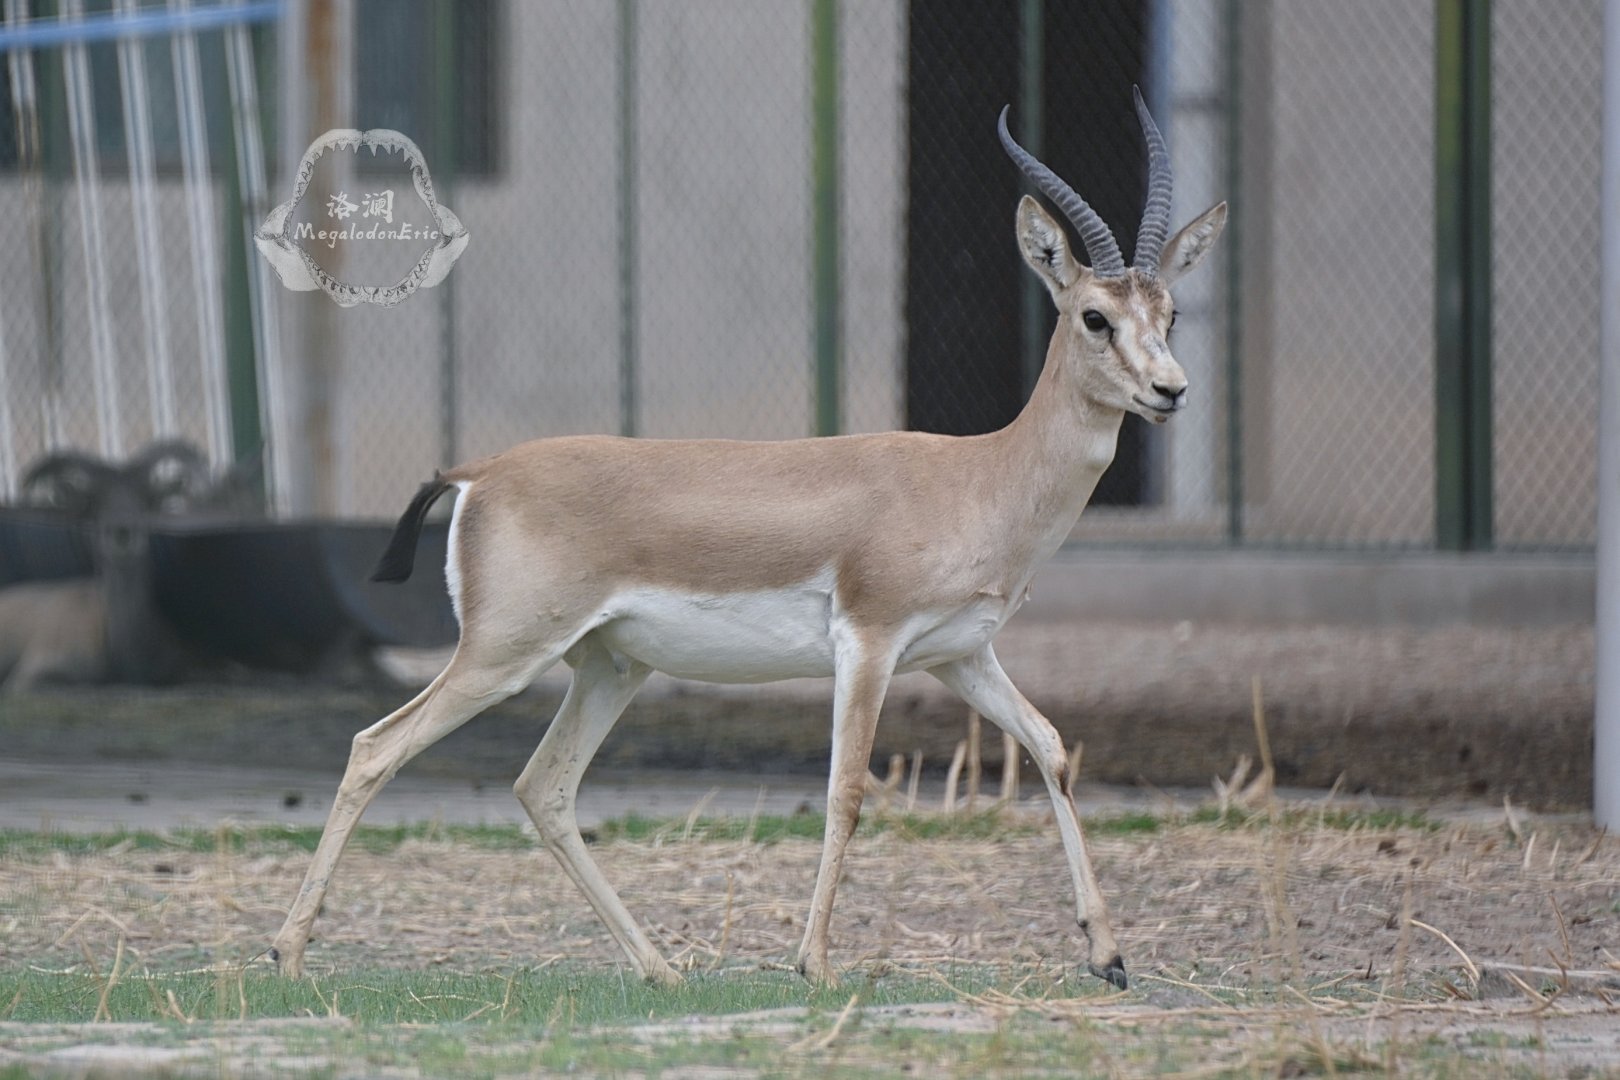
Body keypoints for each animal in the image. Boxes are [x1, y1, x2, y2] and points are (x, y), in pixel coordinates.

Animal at [269, 89, 1226, 990]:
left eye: (1171, 311)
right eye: (1095, 316)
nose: (1171, 391)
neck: (977, 478)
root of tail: (481, 471)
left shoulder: (960, 656)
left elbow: (1053, 749)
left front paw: (1109, 955)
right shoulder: (869, 643)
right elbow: (848, 791)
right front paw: (815, 965)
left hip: (609, 666)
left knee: (543, 786)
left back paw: (661, 968)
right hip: (502, 655)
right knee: (375, 749)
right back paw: (286, 952)